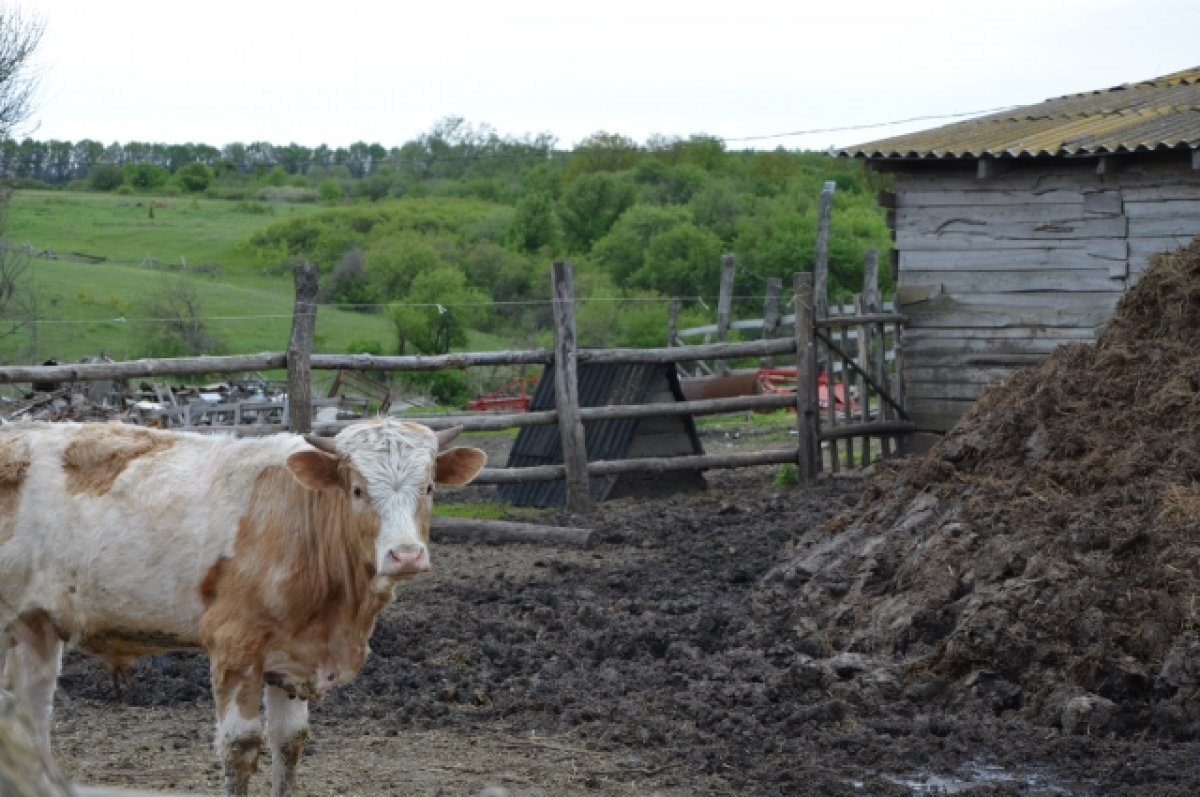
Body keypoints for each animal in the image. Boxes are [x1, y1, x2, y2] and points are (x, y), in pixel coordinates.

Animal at [1, 420, 487, 792]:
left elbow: (289, 742)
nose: (406, 555)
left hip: (35, 626)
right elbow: (240, 748)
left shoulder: (291, 657)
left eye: (429, 487)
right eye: (357, 489)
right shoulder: (236, 646)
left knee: (29, 717)